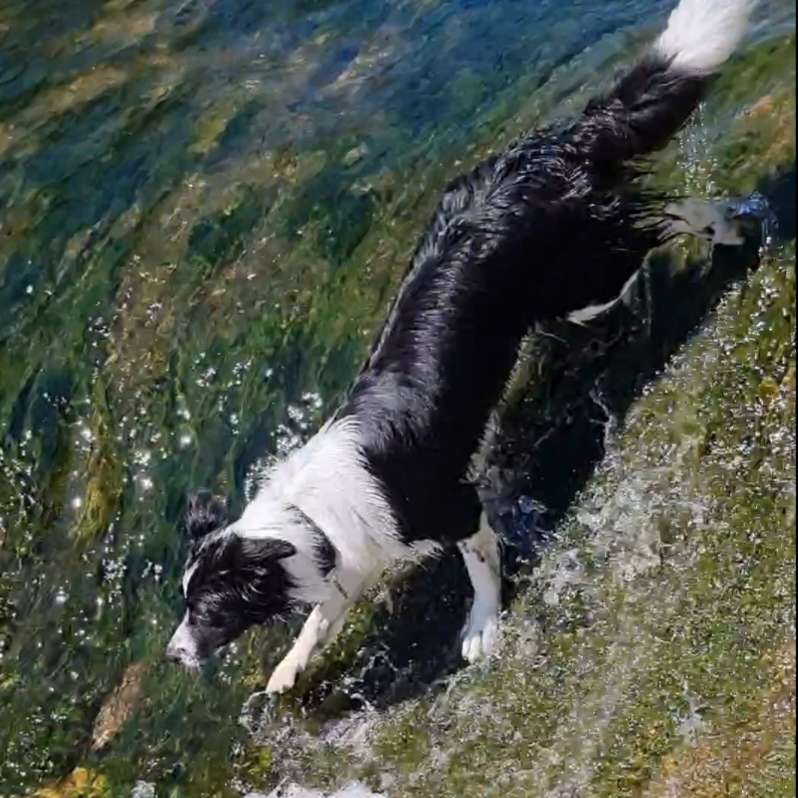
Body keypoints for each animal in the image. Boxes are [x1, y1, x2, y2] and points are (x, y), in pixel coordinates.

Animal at [167, 0, 756, 692]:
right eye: (185, 604)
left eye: (208, 609)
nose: (174, 654)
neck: (306, 523)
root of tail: (545, 151)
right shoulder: (355, 560)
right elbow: (318, 621)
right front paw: (288, 670)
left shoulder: (452, 508)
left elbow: (479, 563)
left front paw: (483, 626)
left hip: (584, 280)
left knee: (657, 218)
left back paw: (720, 223)